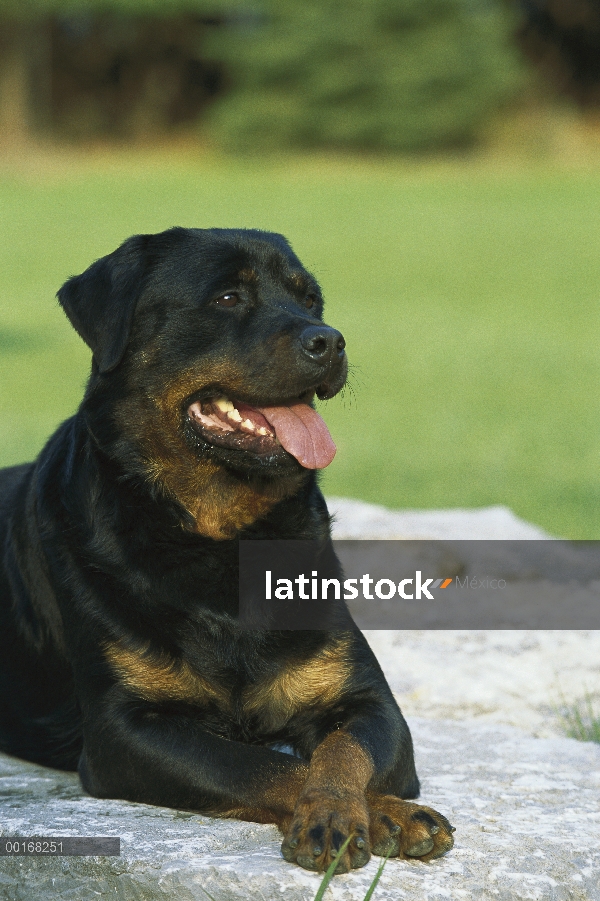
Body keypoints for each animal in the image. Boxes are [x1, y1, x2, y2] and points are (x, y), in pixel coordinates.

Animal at [0, 227, 452, 872]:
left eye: (310, 300)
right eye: (229, 298)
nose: (329, 340)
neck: (224, 539)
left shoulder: (369, 701)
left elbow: (344, 752)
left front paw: (382, 809)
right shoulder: (124, 731)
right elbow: (260, 765)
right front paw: (345, 817)